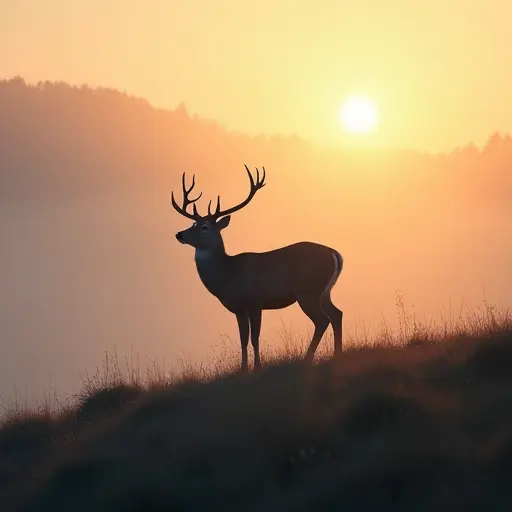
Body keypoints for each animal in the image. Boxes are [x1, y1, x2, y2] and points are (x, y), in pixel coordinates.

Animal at [172, 168, 344, 372]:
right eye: (192, 224)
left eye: (205, 226)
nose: (179, 234)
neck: (228, 274)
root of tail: (335, 254)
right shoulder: (238, 309)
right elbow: (243, 340)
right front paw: (243, 369)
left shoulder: (255, 302)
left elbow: (254, 338)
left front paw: (257, 367)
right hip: (324, 292)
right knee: (337, 314)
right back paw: (337, 355)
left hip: (307, 290)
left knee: (322, 320)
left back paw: (307, 359)